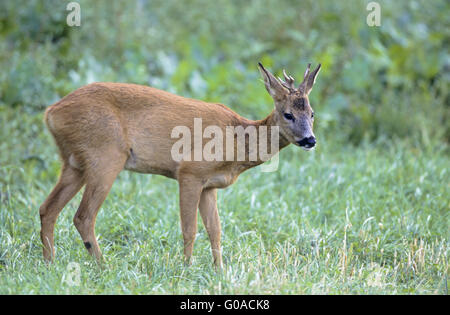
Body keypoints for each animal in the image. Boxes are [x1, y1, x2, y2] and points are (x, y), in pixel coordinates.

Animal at [38, 63, 320, 268]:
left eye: (312, 113)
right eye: (288, 114)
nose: (310, 140)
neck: (239, 139)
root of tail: (51, 112)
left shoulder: (209, 186)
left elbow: (215, 230)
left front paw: (219, 271)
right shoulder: (190, 172)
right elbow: (190, 229)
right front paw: (186, 267)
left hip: (74, 162)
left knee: (47, 209)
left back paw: (50, 262)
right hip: (105, 155)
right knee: (83, 216)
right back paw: (103, 265)